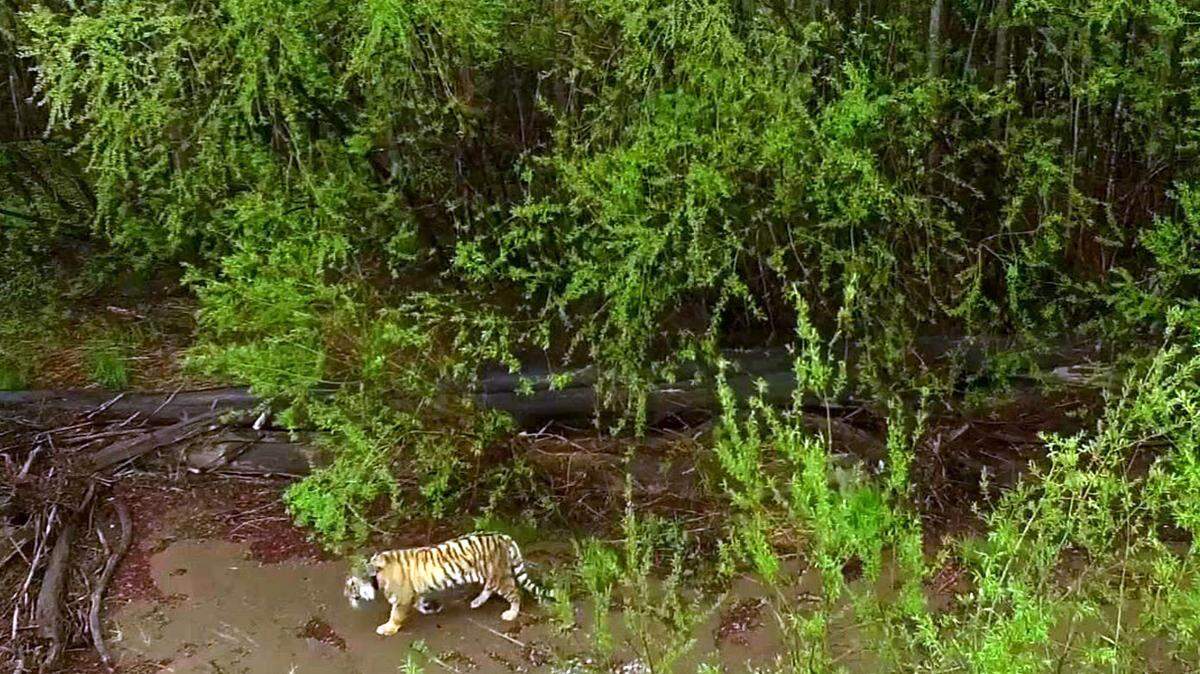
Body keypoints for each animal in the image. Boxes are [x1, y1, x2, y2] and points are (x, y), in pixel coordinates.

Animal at [343, 532, 551, 636]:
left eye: (351, 584)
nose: (345, 595)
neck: (376, 575)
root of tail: (504, 537)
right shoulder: (413, 593)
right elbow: (419, 603)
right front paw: (431, 608)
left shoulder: (402, 598)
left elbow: (395, 615)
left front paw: (388, 629)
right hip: (490, 575)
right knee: (489, 588)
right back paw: (476, 602)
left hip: (500, 576)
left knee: (515, 593)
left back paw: (511, 613)